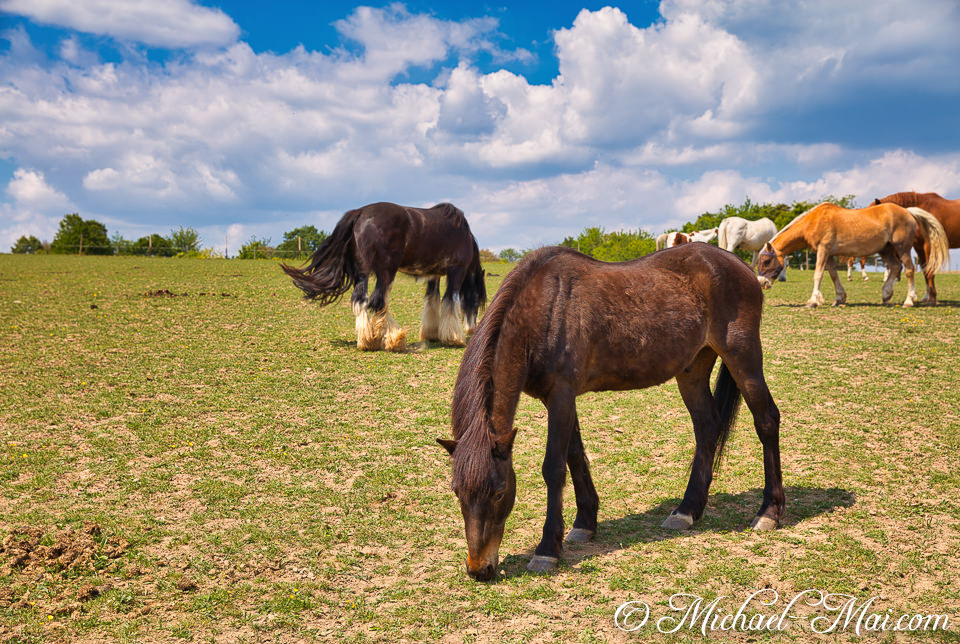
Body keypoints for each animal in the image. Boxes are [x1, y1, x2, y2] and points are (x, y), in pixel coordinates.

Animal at [282, 202, 486, 351]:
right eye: (478, 301)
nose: (473, 328)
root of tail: (360, 213)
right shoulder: (456, 271)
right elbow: (449, 301)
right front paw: (454, 338)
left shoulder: (433, 275)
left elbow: (432, 301)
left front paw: (432, 333)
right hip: (386, 272)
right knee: (378, 301)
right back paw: (395, 339)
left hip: (363, 273)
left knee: (361, 300)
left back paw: (367, 341)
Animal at [437, 244, 783, 581]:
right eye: (457, 492)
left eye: (498, 493)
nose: (479, 569)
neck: (543, 309)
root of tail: (739, 265)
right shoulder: (559, 399)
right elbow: (575, 456)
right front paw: (584, 523)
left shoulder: (561, 395)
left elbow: (554, 468)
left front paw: (547, 549)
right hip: (692, 368)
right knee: (707, 427)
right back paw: (686, 511)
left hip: (743, 357)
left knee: (767, 420)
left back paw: (769, 512)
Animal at [756, 202, 948, 308]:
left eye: (766, 261)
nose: (762, 283)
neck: (814, 221)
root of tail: (907, 211)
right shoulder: (829, 254)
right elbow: (833, 275)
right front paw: (839, 298)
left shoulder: (823, 250)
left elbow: (818, 274)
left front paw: (813, 301)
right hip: (885, 249)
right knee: (895, 267)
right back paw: (886, 294)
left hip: (902, 247)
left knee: (908, 269)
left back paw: (909, 301)